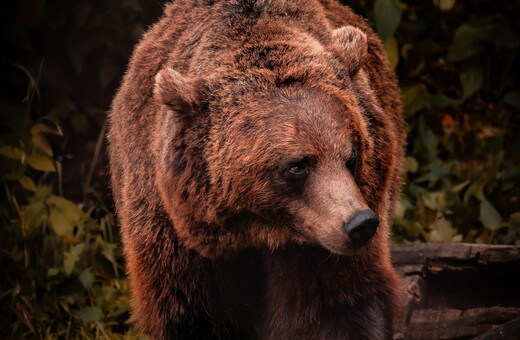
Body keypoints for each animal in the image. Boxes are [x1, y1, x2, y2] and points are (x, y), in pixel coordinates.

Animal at [106, 0, 406, 338]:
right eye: (296, 166)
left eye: (352, 154)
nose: (359, 223)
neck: (260, 230)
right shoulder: (173, 236)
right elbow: (189, 313)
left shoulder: (323, 246)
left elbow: (339, 306)